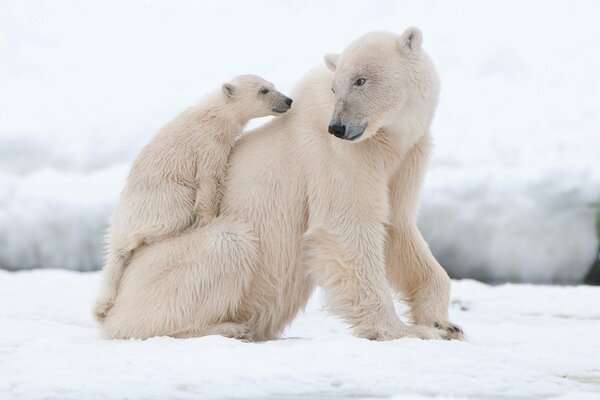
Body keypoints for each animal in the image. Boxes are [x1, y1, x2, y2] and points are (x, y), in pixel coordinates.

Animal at [91, 76, 292, 324]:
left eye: (273, 85)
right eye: (263, 90)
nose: (288, 100)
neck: (214, 114)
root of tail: (118, 229)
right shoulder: (208, 144)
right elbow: (209, 179)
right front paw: (209, 218)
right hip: (163, 200)